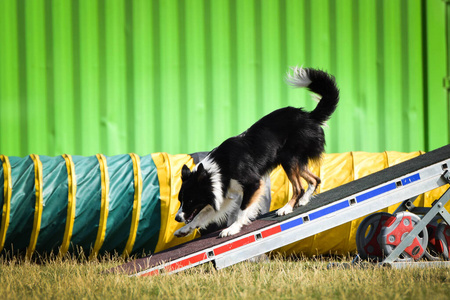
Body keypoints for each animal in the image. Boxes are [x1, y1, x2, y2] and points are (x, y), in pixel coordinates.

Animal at [174, 67, 340, 238]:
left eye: (190, 200)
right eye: (180, 200)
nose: (177, 218)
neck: (219, 169)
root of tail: (309, 116)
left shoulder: (252, 184)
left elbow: (241, 210)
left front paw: (232, 228)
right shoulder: (224, 194)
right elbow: (201, 216)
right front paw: (184, 230)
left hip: (289, 159)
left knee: (298, 187)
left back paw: (286, 208)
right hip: (293, 161)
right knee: (315, 179)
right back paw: (303, 200)